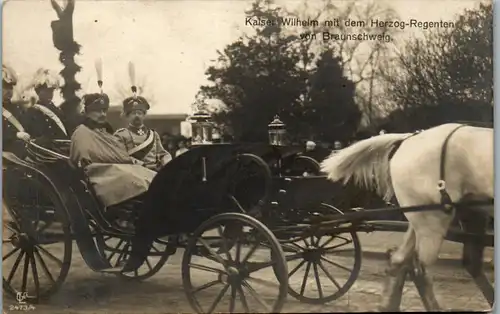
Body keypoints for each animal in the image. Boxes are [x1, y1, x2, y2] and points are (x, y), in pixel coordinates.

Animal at [320, 123, 492, 312]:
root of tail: (409, 138)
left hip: (433, 217)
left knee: (402, 260)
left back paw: (388, 304)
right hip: (433, 219)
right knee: (420, 267)